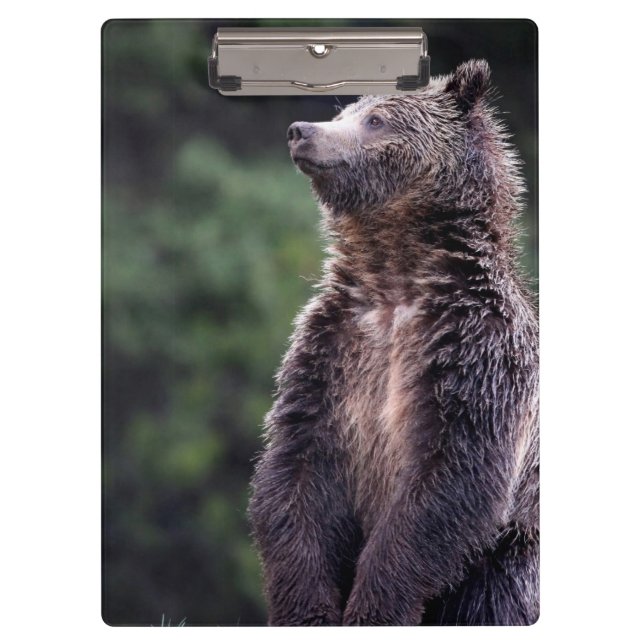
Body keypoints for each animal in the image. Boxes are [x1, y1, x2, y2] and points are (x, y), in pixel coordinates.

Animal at [248, 60, 539, 626]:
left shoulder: (475, 355)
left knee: (501, 596)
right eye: (345, 110)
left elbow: (448, 481)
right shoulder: (332, 353)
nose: (301, 131)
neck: (395, 276)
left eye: (377, 120)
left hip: (515, 549)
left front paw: (375, 607)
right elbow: (295, 473)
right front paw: (309, 610)